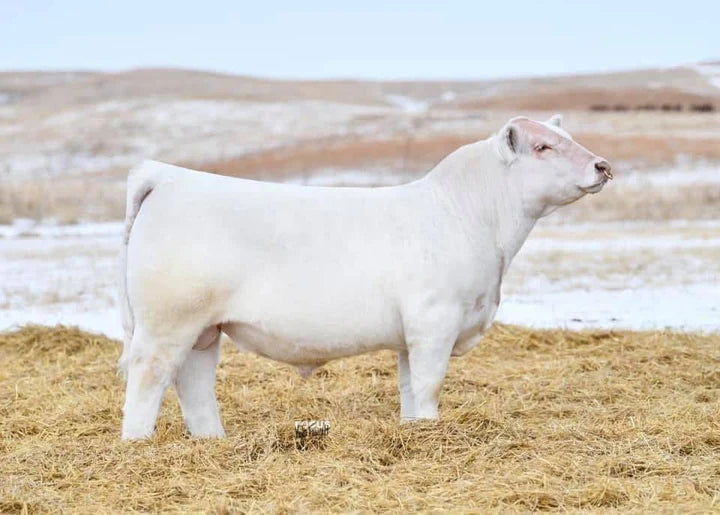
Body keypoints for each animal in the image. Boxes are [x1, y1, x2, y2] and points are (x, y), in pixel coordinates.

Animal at [118, 114, 612, 440]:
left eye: (568, 136)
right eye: (543, 147)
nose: (603, 165)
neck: (472, 217)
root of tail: (168, 177)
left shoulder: (410, 336)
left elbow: (409, 387)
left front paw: (414, 429)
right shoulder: (435, 322)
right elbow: (429, 384)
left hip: (204, 329)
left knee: (193, 383)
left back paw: (212, 441)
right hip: (168, 323)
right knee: (148, 379)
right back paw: (138, 443)